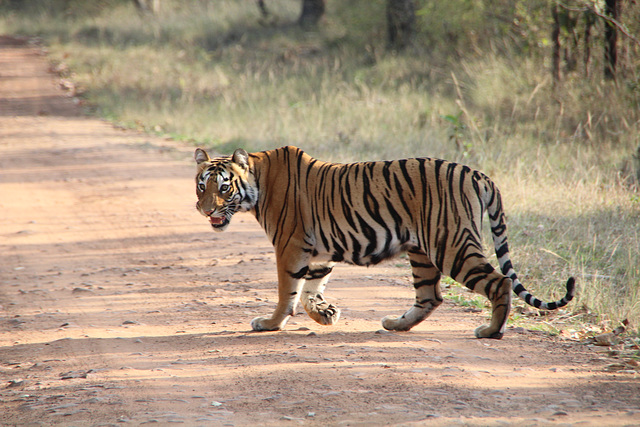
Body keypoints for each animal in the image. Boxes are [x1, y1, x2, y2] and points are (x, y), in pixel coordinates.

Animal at [194, 145, 576, 340]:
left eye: (224, 187)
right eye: (201, 185)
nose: (204, 209)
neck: (257, 183)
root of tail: (478, 174)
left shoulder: (290, 246)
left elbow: (288, 291)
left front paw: (270, 323)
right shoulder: (316, 250)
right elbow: (310, 287)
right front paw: (325, 314)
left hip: (450, 245)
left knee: (498, 282)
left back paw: (491, 331)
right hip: (423, 252)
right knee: (430, 296)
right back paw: (395, 324)